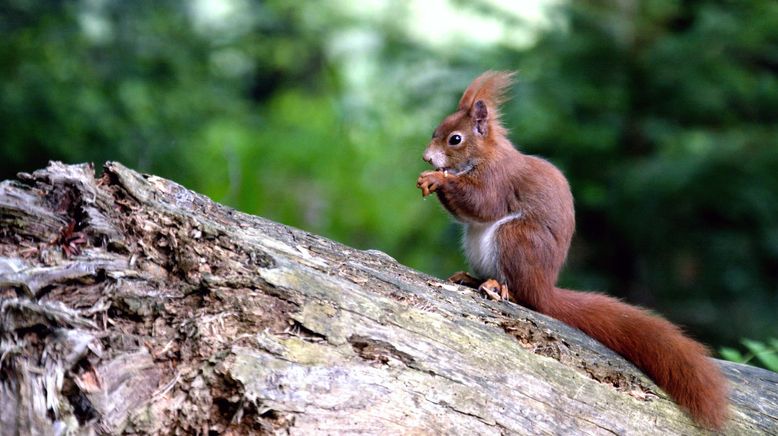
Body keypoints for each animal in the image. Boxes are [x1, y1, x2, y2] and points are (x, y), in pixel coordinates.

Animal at [418, 71, 728, 430]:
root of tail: (544, 289)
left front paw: (439, 178)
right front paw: (430, 177)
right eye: (436, 130)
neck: (484, 156)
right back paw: (472, 278)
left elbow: (483, 204)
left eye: (455, 139)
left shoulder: (499, 180)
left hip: (515, 240)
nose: (427, 158)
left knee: (522, 294)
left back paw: (499, 286)